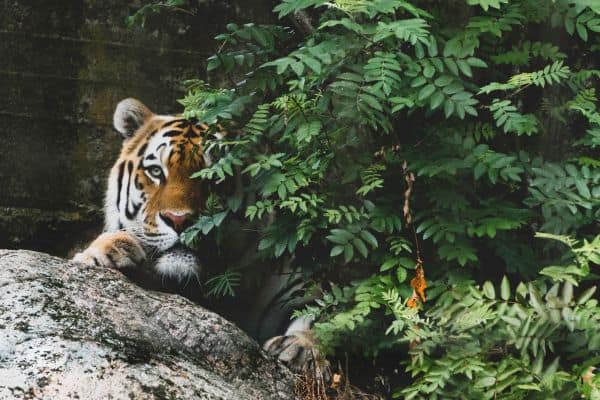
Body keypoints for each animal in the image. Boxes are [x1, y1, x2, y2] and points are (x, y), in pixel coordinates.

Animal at [72, 98, 326, 374]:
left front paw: (300, 348)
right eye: (156, 172)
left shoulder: (296, 291)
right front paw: (110, 252)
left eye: (215, 175)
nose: (179, 220)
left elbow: (324, 318)